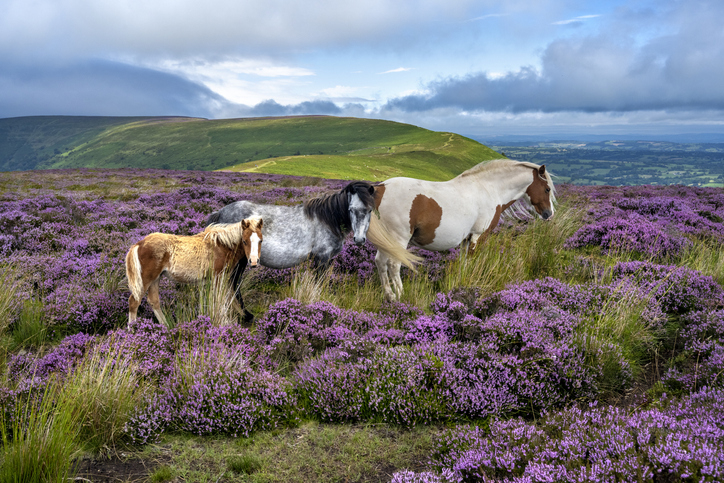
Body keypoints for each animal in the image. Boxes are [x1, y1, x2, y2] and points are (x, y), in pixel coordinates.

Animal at [125, 217, 263, 325]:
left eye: (260, 240)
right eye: (244, 241)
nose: (254, 262)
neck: (222, 246)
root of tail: (139, 244)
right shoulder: (218, 277)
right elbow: (220, 300)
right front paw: (224, 323)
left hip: (156, 278)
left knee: (154, 301)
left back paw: (166, 327)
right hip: (146, 279)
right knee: (134, 302)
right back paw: (132, 329)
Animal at [367, 159, 556, 301]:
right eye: (547, 189)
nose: (549, 214)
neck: (489, 189)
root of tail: (381, 188)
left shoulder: (467, 238)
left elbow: (464, 262)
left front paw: (462, 283)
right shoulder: (479, 235)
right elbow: (472, 261)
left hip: (386, 241)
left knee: (380, 262)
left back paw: (390, 296)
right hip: (398, 239)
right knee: (393, 265)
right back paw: (400, 295)